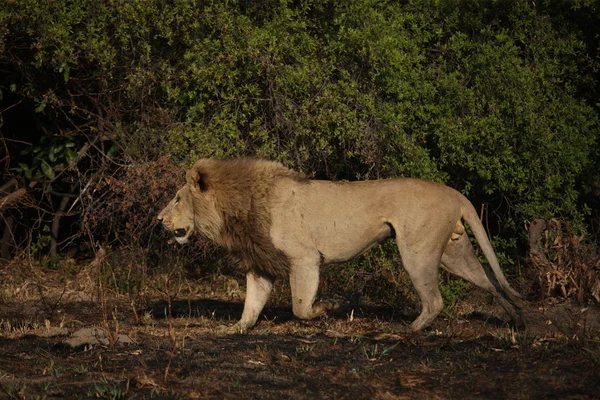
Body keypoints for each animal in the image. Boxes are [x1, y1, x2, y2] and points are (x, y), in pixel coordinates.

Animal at [157, 159, 524, 332]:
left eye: (177, 198)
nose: (158, 219)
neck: (238, 206)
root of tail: (454, 193)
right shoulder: (262, 264)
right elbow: (252, 303)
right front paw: (236, 329)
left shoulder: (304, 257)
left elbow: (300, 306)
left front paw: (331, 307)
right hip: (453, 253)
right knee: (491, 282)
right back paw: (517, 319)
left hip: (417, 251)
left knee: (435, 301)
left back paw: (409, 330)